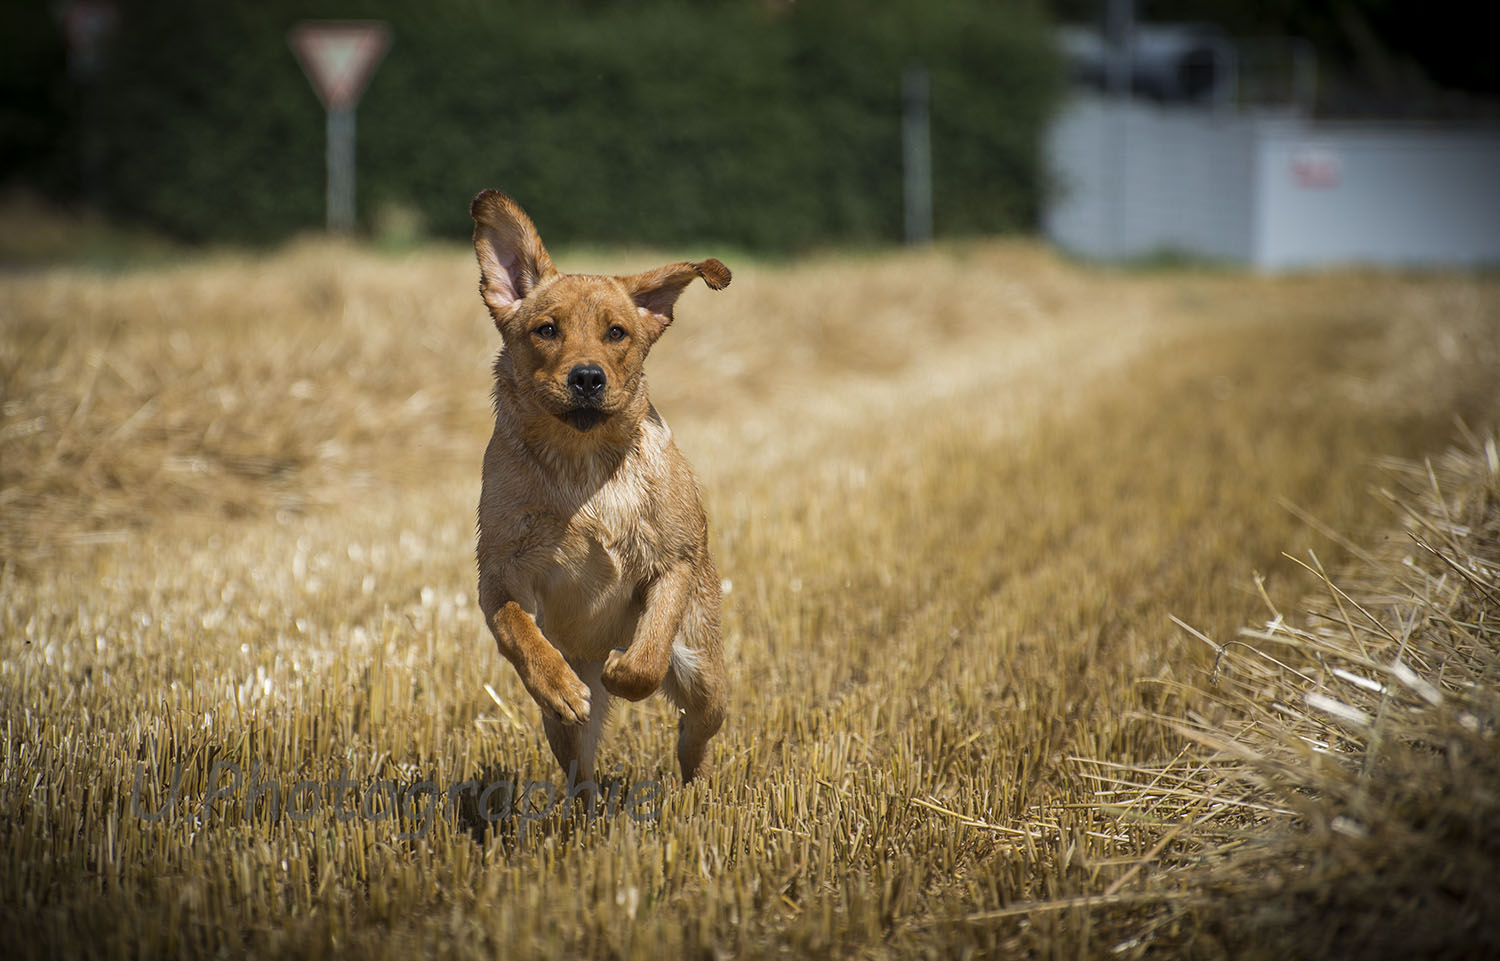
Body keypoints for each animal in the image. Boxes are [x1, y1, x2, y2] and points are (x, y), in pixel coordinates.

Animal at [468, 191, 726, 785]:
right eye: (546, 330)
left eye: (616, 333)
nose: (587, 377)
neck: (582, 467)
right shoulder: (497, 574)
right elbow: (518, 629)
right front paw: (559, 685)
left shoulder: (675, 560)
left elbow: (648, 656)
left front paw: (623, 669)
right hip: (567, 735)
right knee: (580, 774)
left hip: (705, 673)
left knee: (697, 731)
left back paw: (696, 787)